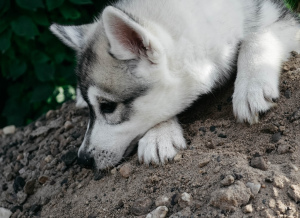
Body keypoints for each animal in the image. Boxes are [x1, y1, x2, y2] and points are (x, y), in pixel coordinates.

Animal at [50, 0, 298, 170]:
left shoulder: (279, 17)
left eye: (108, 107)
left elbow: (256, 37)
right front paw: (159, 134)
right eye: (93, 110)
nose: (82, 160)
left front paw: (250, 88)